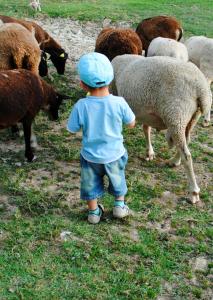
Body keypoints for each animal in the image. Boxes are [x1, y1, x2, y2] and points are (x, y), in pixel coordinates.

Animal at [111, 54, 211, 204]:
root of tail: (201, 88)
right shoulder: (146, 113)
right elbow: (146, 129)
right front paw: (149, 152)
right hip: (191, 117)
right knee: (185, 142)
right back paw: (174, 161)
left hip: (176, 114)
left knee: (187, 155)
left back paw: (193, 192)